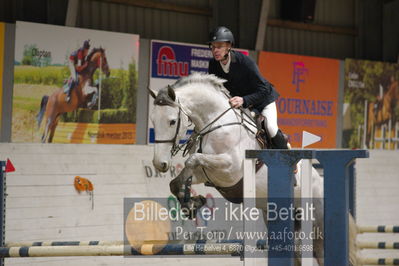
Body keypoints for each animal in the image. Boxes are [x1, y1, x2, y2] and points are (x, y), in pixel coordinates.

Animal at [150, 72, 324, 264]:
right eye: (153, 121)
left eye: (172, 122)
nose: (159, 164)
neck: (217, 124)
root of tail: (319, 178)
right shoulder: (207, 174)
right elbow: (176, 181)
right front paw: (191, 203)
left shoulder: (231, 169)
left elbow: (192, 159)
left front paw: (192, 202)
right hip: (278, 215)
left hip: (316, 222)